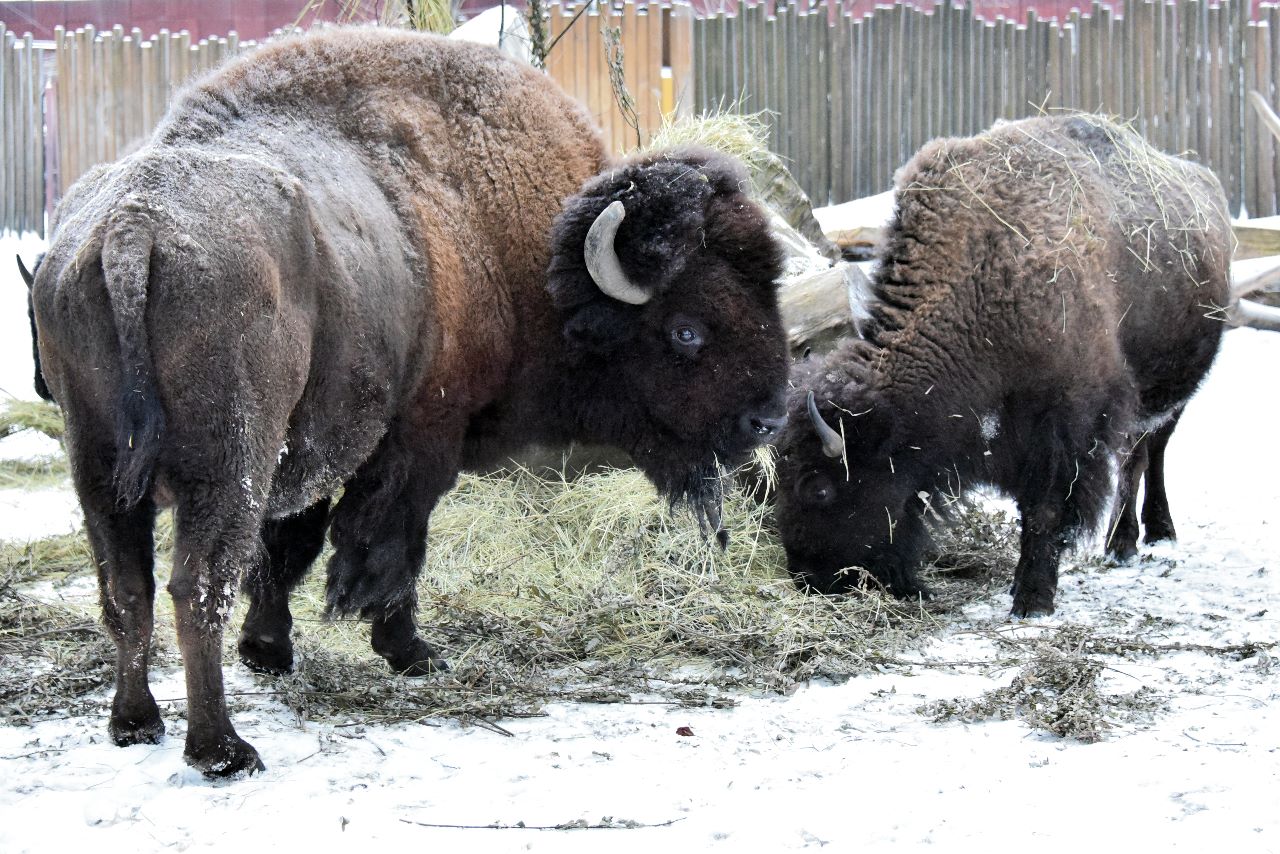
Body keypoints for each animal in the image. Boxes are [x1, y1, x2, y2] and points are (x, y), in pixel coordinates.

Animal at [27, 30, 788, 778]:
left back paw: (134, 724)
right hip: (227, 466)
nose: (769, 418)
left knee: (126, 588)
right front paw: (410, 650)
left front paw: (270, 650)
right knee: (197, 586)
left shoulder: (315, 449)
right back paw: (224, 751)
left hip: (98, 468)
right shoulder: (420, 439)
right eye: (686, 328)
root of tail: (133, 231)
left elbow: (291, 548)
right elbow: (391, 545)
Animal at [773, 115, 1233, 622]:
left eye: (818, 488)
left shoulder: (1064, 428)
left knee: (1149, 452)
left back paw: (1142, 537)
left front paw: (1031, 601)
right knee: (1138, 453)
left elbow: (1046, 510)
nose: (808, 578)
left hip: (1172, 393)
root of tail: (1206, 185)